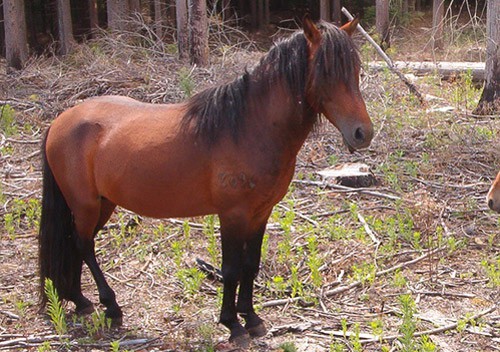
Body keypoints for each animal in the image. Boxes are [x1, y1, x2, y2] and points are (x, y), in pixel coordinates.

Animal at [39, 17, 374, 346]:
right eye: (326, 72)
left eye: (356, 70)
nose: (362, 133)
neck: (249, 128)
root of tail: (60, 121)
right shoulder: (233, 215)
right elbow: (231, 269)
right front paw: (233, 325)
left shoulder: (261, 212)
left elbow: (251, 264)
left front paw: (252, 318)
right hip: (85, 204)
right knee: (83, 244)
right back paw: (110, 305)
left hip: (103, 204)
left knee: (77, 243)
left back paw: (79, 300)